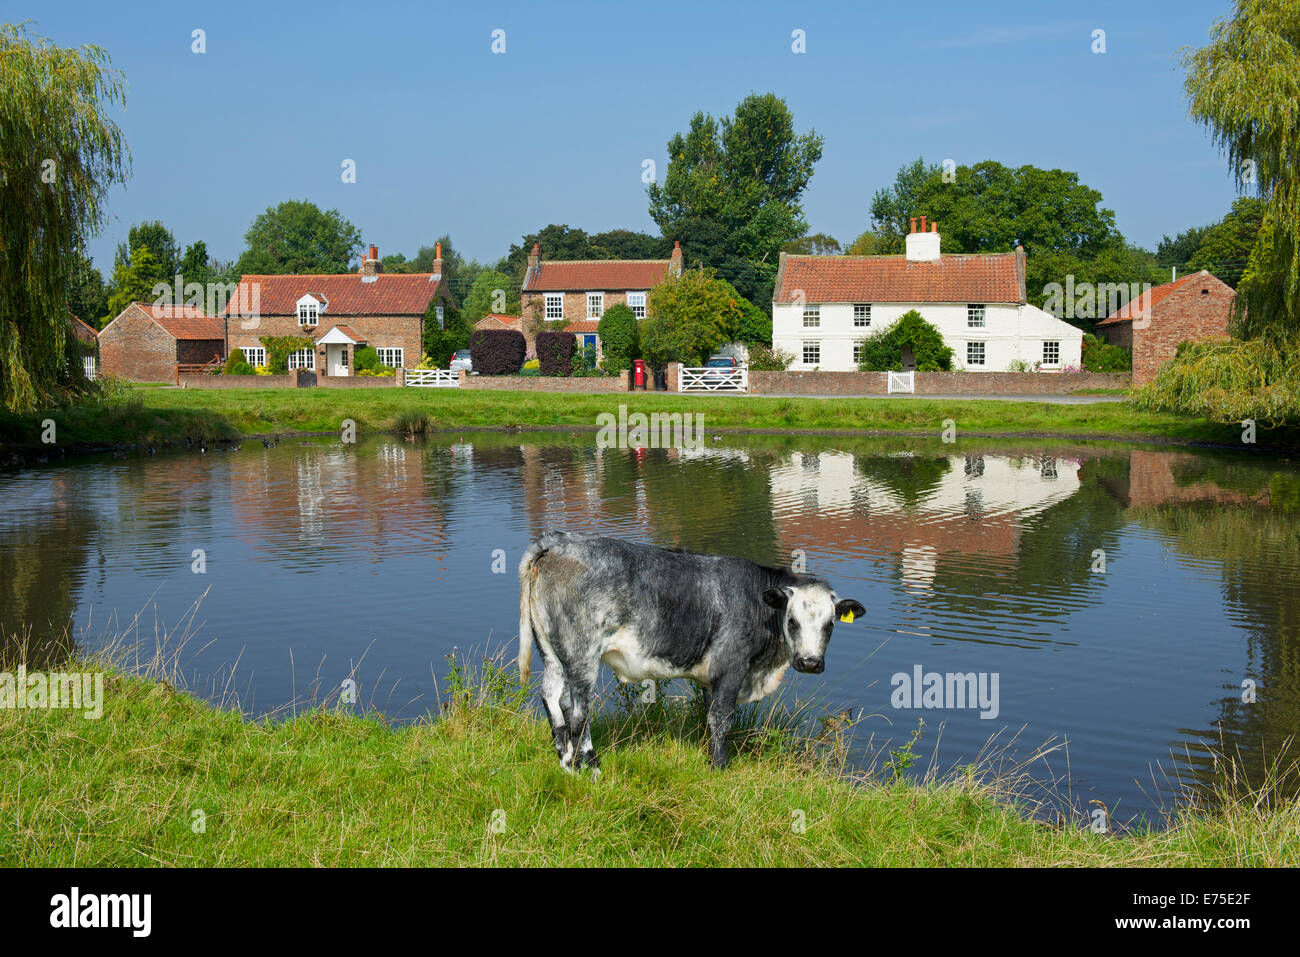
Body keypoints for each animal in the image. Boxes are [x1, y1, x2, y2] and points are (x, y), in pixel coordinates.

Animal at [517, 530, 863, 769]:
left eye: (830, 625)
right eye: (792, 621)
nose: (810, 662)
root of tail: (558, 542)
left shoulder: (712, 677)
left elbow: (708, 716)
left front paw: (711, 759)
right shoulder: (731, 665)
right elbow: (722, 719)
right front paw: (720, 767)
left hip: (552, 653)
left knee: (551, 698)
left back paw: (566, 763)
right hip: (581, 655)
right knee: (576, 709)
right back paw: (590, 767)